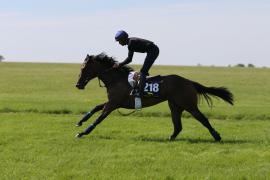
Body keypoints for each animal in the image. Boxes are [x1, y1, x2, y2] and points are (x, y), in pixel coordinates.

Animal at [75, 52, 233, 141]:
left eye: (84, 68)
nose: (78, 84)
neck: (117, 79)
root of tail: (189, 82)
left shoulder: (113, 104)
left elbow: (99, 118)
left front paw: (83, 133)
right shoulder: (114, 102)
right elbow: (95, 107)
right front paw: (80, 122)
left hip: (189, 105)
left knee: (203, 120)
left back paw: (217, 136)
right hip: (175, 106)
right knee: (178, 126)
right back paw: (171, 137)